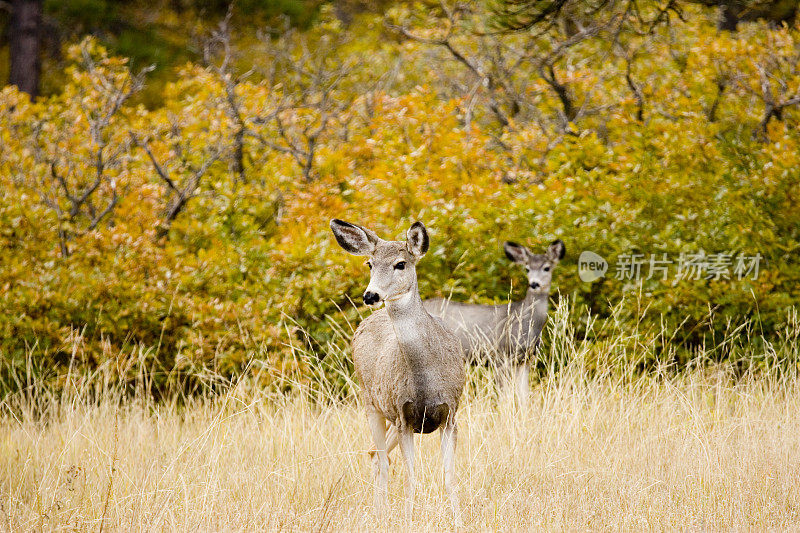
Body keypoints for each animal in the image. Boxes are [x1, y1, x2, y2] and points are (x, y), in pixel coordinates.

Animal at [332, 217, 468, 524]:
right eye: (369, 263)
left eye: (400, 264)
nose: (370, 295)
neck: (426, 379)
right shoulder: (405, 416)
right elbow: (411, 478)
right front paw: (408, 519)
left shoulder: (450, 414)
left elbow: (450, 477)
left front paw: (460, 521)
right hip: (371, 403)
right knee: (380, 459)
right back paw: (379, 514)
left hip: (391, 417)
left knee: (375, 455)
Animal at [422, 239, 564, 402]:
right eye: (527, 269)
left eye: (547, 268)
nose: (534, 284)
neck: (525, 321)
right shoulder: (500, 356)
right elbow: (504, 395)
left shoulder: (525, 359)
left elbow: (523, 395)